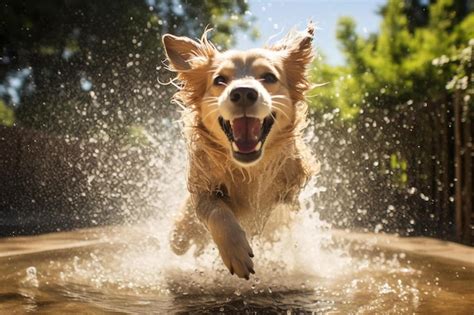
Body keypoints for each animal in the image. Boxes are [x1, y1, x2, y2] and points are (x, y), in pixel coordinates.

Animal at [162, 25, 318, 282]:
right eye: (220, 80)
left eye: (269, 77)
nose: (244, 93)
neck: (249, 169)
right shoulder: (203, 188)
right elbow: (217, 211)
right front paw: (236, 251)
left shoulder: (289, 195)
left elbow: (272, 214)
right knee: (179, 240)